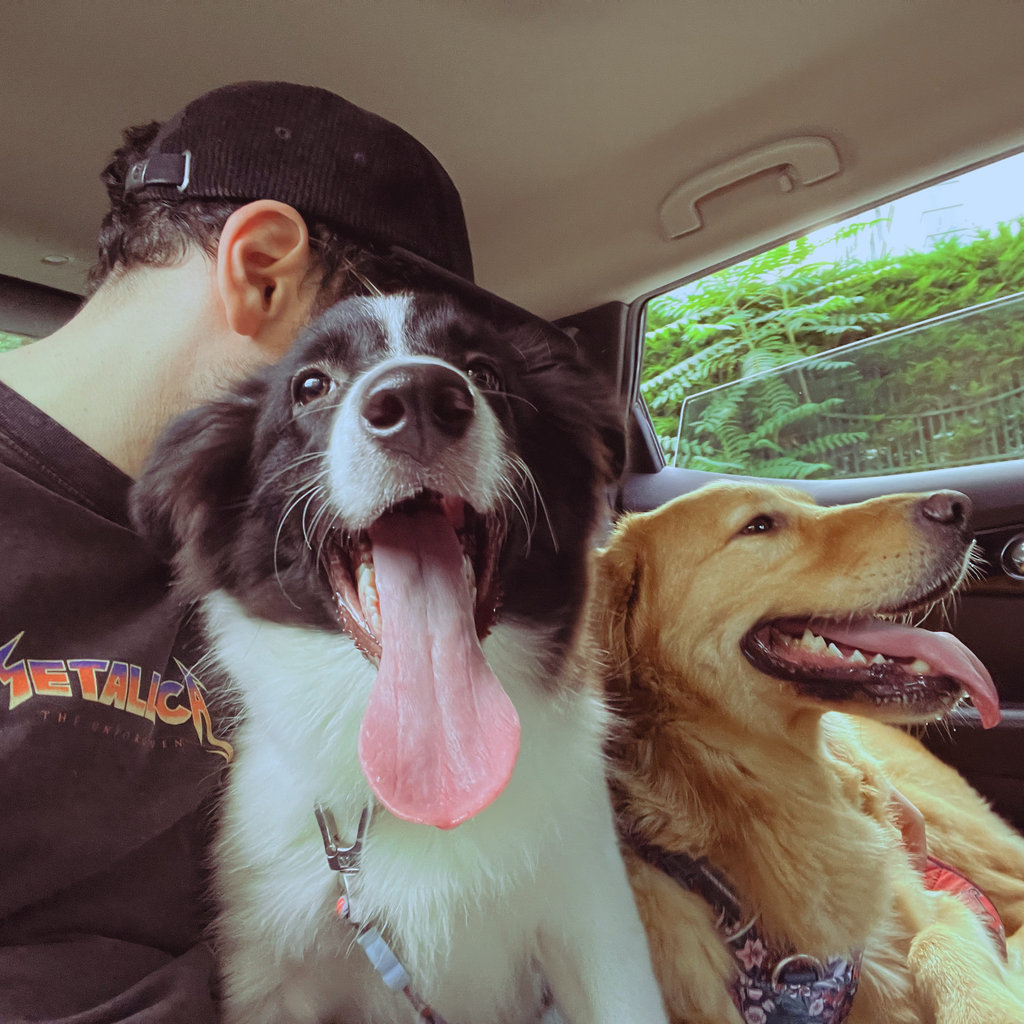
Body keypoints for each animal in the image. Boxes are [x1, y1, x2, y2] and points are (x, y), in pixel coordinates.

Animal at [131, 290, 668, 1024]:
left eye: (484, 369)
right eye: (310, 385)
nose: (417, 397)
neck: (429, 793)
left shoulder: (596, 923)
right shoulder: (266, 968)